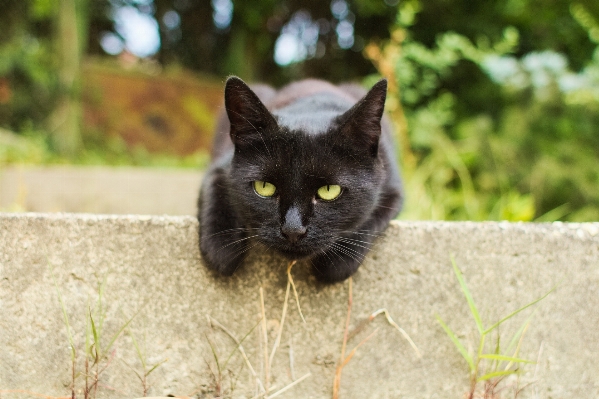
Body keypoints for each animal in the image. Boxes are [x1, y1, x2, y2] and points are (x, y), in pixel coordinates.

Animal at [200, 77, 404, 284]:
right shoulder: (220, 168)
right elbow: (216, 193)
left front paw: (337, 263)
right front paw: (222, 248)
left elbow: (371, 217)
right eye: (264, 187)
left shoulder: (394, 189)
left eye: (329, 190)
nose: (293, 231)